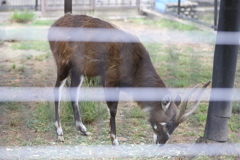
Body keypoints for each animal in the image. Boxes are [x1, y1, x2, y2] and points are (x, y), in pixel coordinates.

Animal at [48, 13, 210, 145]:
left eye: (176, 126)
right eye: (169, 124)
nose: (162, 142)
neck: (135, 62)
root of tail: (54, 25)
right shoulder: (110, 80)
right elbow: (113, 109)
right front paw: (114, 140)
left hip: (78, 70)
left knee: (73, 91)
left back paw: (82, 128)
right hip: (63, 64)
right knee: (57, 89)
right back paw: (59, 132)